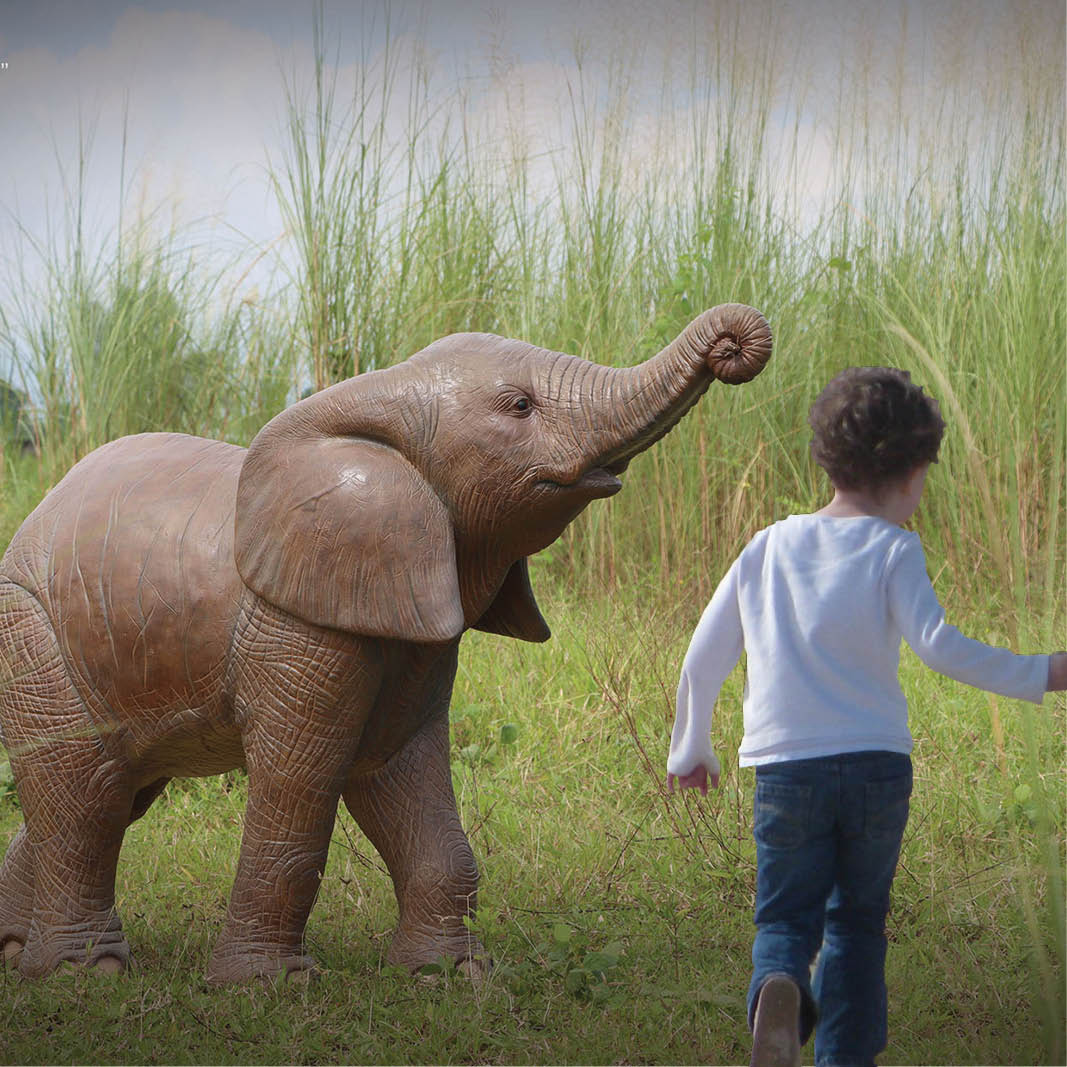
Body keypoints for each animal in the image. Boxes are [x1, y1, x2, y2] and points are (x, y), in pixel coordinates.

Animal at [0, 303, 772, 983]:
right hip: (31, 631)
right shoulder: (300, 627)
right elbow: (303, 782)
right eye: (519, 406)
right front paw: (267, 988)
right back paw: (82, 973)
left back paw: (16, 957)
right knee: (87, 793)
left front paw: (450, 978)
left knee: (117, 789)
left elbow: (397, 771)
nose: (732, 346)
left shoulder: (410, 627)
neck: (382, 393)